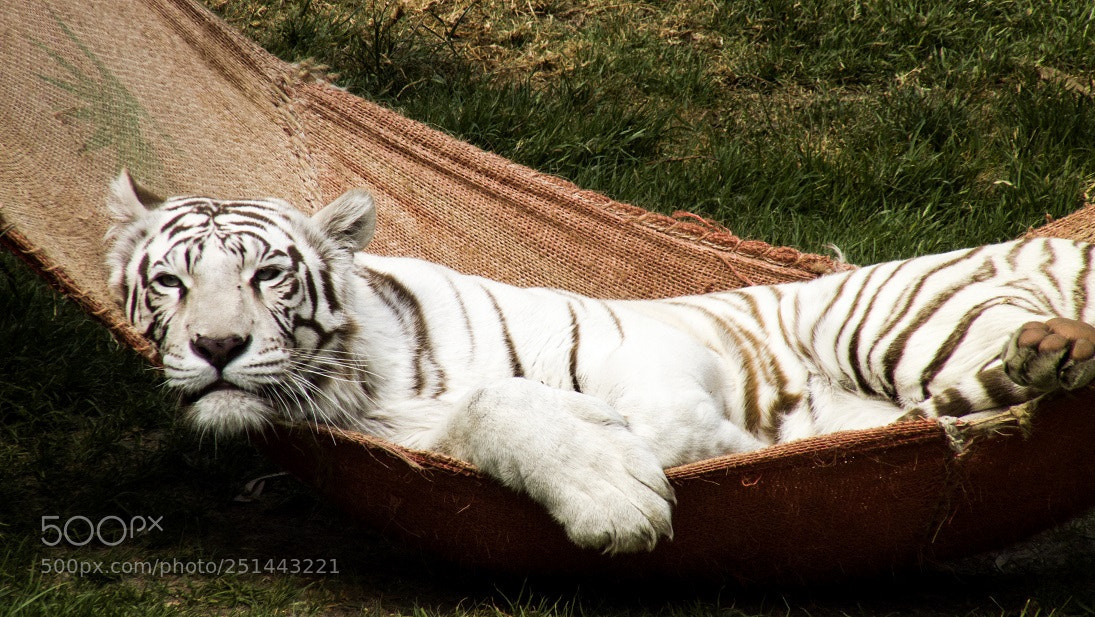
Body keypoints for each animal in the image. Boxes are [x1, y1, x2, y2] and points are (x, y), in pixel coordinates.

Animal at [104, 170, 1095, 554]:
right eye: (170, 282)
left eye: (267, 275)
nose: (216, 347)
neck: (359, 393)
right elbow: (493, 407)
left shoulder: (644, 342)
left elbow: (644, 413)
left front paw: (673, 467)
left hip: (890, 317)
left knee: (1007, 341)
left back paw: (1052, 344)